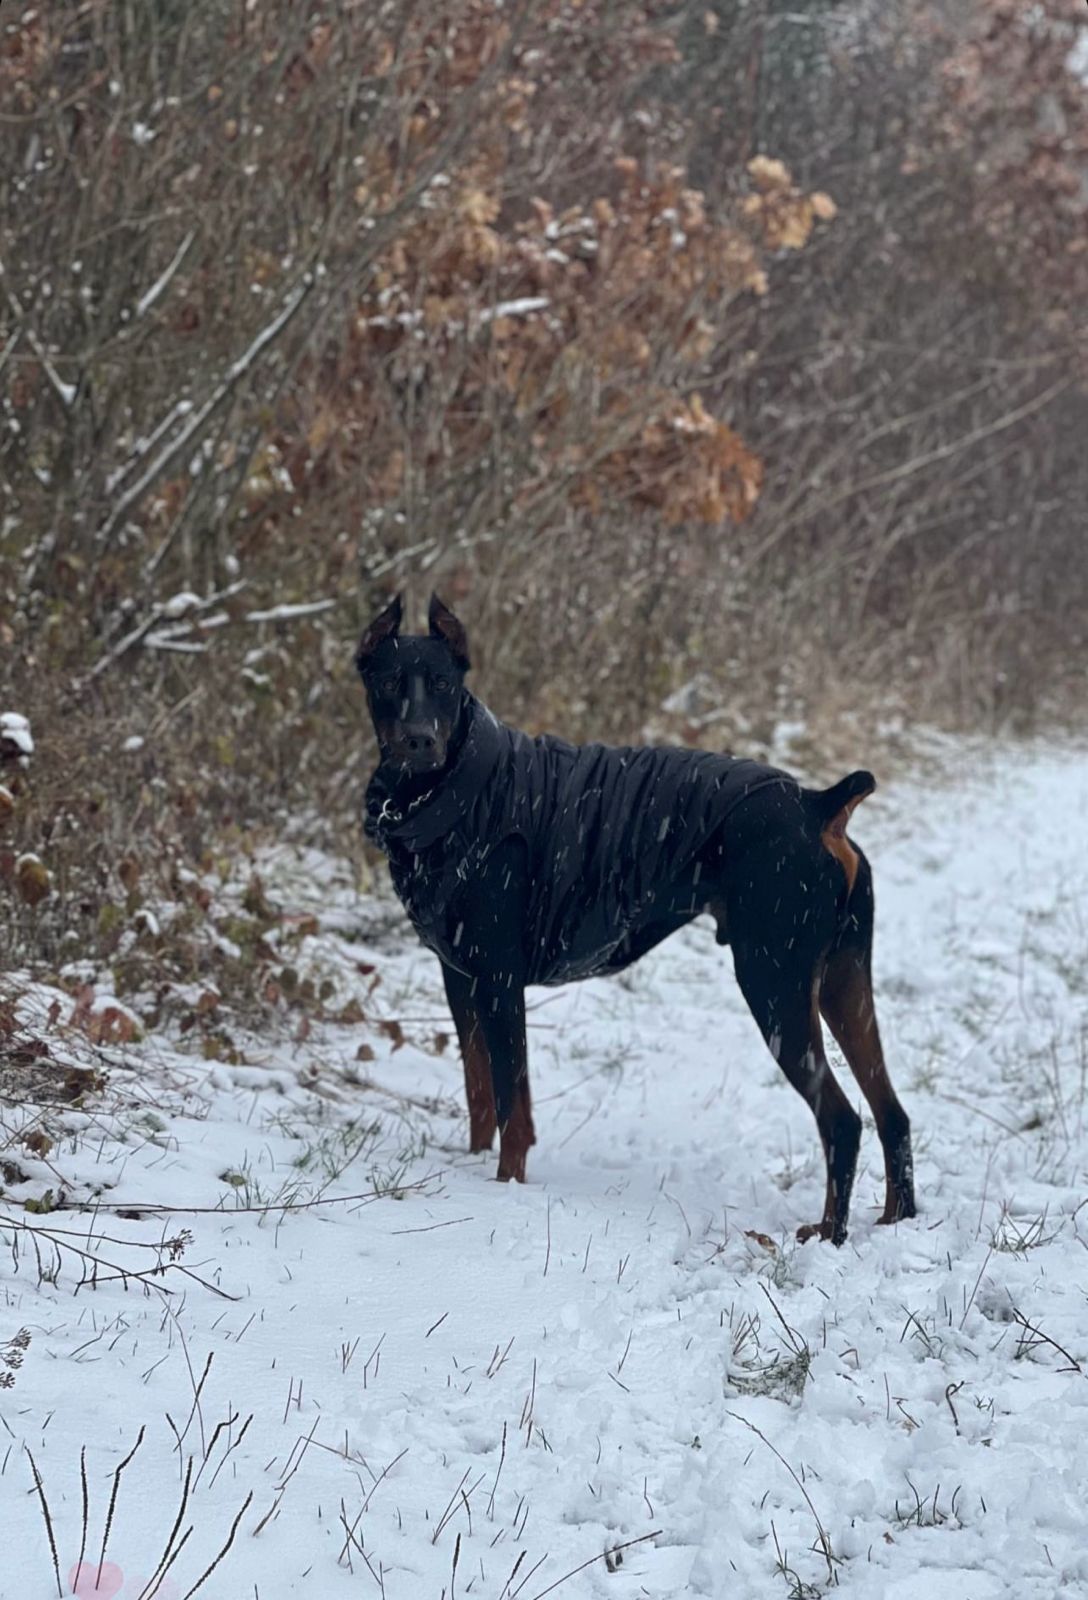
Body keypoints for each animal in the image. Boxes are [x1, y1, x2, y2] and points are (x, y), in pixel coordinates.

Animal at [352, 595, 915, 1241]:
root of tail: (818, 806)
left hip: (775, 982)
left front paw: (504, 1190)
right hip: (844, 983)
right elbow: (481, 1095)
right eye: (390, 683)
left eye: (443, 684)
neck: (450, 793)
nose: (419, 741)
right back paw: (897, 1220)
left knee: (842, 1119)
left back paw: (828, 1233)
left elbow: (512, 1108)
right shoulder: (460, 979)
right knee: (892, 1112)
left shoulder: (497, 980)